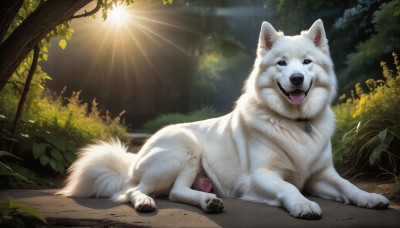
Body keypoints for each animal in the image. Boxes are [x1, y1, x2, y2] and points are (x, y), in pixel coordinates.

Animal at [57, 19, 390, 219]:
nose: (296, 78)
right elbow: (290, 189)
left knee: (176, 192)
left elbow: (348, 186)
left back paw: (210, 202)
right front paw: (303, 204)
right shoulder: (261, 176)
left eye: (307, 62)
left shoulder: (322, 174)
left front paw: (369, 198)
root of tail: (133, 159)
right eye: (281, 63)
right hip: (186, 148)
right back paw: (145, 202)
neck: (295, 123)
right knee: (134, 191)